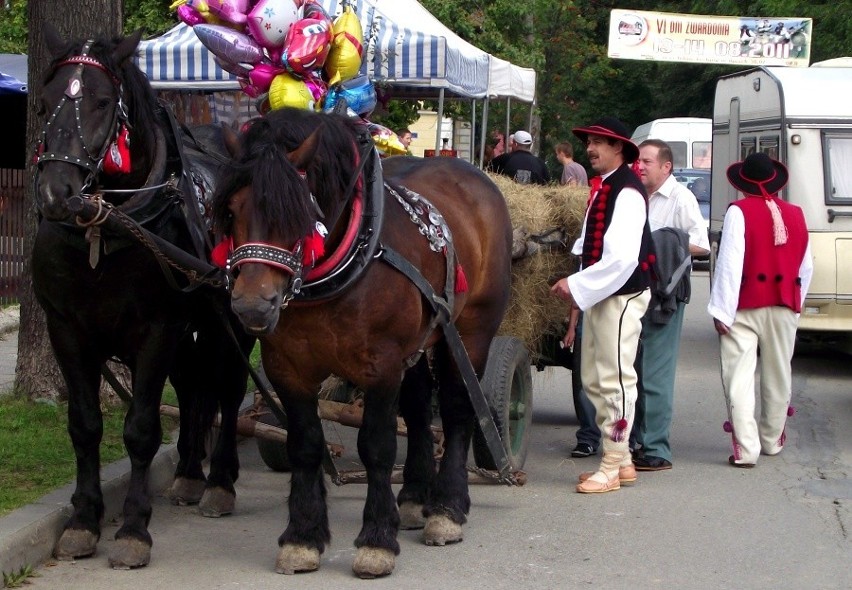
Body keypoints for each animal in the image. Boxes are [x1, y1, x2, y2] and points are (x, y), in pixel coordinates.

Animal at [30, 30, 256, 572]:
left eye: (101, 102)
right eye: (44, 102)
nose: (55, 192)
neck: (104, 231)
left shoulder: (157, 330)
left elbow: (140, 430)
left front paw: (133, 528)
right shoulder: (66, 330)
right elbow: (85, 425)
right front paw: (83, 521)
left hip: (233, 320)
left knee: (229, 389)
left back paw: (219, 482)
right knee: (195, 390)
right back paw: (190, 473)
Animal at [213, 108, 512, 580]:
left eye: (299, 212)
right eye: (231, 209)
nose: (251, 305)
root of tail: (474, 174)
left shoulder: (381, 365)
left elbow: (376, 445)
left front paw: (376, 540)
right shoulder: (287, 367)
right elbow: (305, 445)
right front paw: (302, 536)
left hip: (472, 331)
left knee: (457, 407)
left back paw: (447, 508)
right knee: (418, 406)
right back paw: (413, 498)